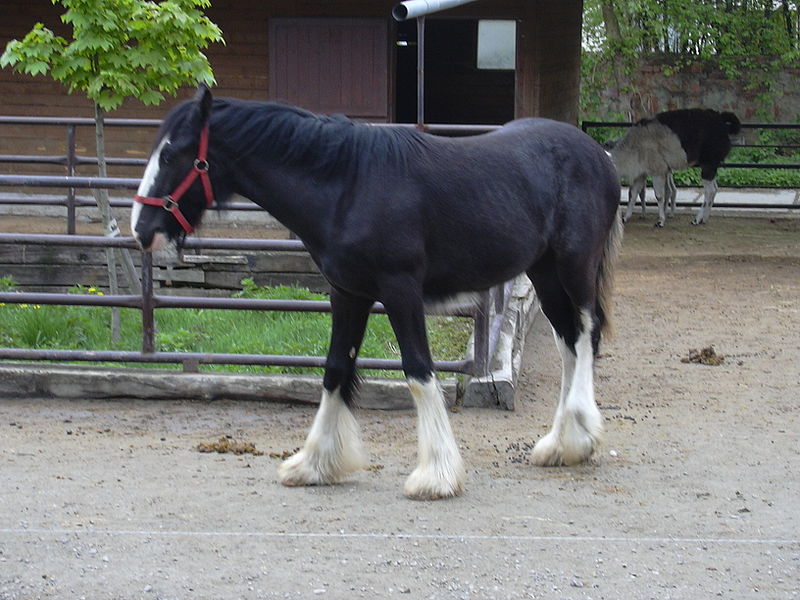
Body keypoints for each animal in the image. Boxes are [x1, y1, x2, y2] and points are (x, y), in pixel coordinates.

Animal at [131, 83, 620, 496]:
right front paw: (314, 464)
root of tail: (597, 154)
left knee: (585, 334)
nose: (142, 230)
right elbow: (334, 370)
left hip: (573, 267)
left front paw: (436, 475)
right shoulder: (348, 293)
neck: (348, 186)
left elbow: (419, 370)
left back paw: (580, 432)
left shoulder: (400, 290)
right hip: (544, 272)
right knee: (568, 343)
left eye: (171, 154)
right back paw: (561, 444)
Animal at [608, 108, 740, 227]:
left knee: (710, 191)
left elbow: (659, 196)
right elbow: (633, 194)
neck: (634, 147)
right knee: (715, 188)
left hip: (709, 163)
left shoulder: (658, 170)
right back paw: (704, 219)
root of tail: (721, 121)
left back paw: (696, 220)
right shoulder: (641, 172)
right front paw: (625, 217)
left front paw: (660, 221)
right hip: (711, 165)